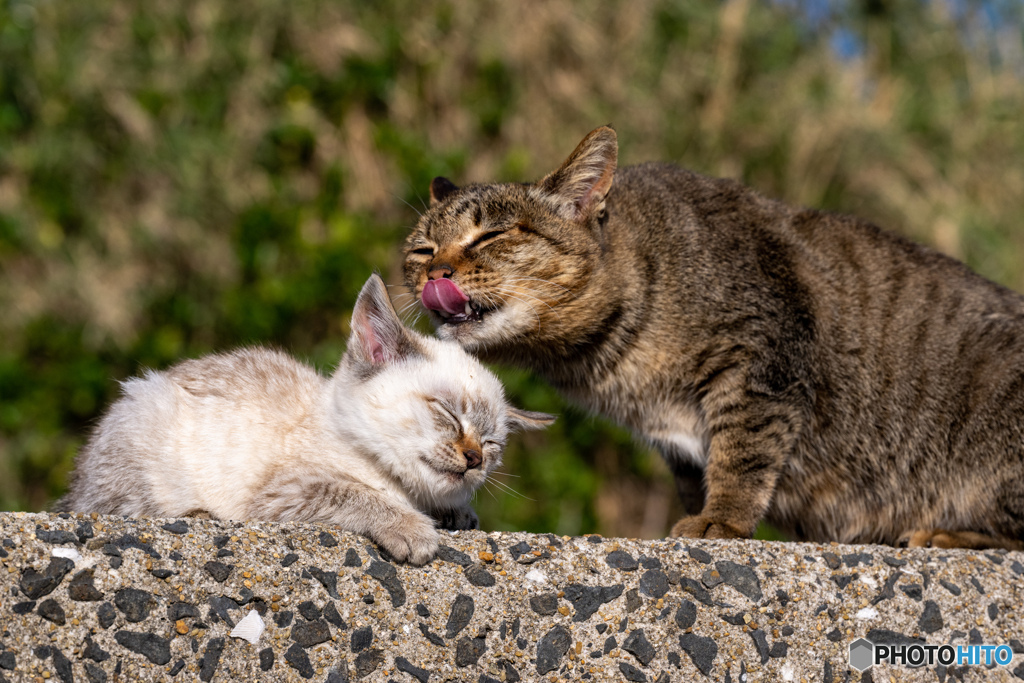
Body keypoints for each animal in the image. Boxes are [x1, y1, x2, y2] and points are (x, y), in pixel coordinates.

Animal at [58, 274, 552, 565]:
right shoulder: (282, 494)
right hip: (145, 414)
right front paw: (412, 528)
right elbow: (353, 493)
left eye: (492, 444)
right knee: (111, 504)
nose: (474, 460)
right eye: (448, 413)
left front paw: (458, 514)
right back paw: (196, 512)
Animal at [401, 125, 1024, 548]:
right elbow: (700, 470)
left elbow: (743, 453)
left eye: (491, 236)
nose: (435, 275)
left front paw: (722, 518)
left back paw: (948, 533)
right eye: (422, 250)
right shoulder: (677, 440)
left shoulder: (763, 361)